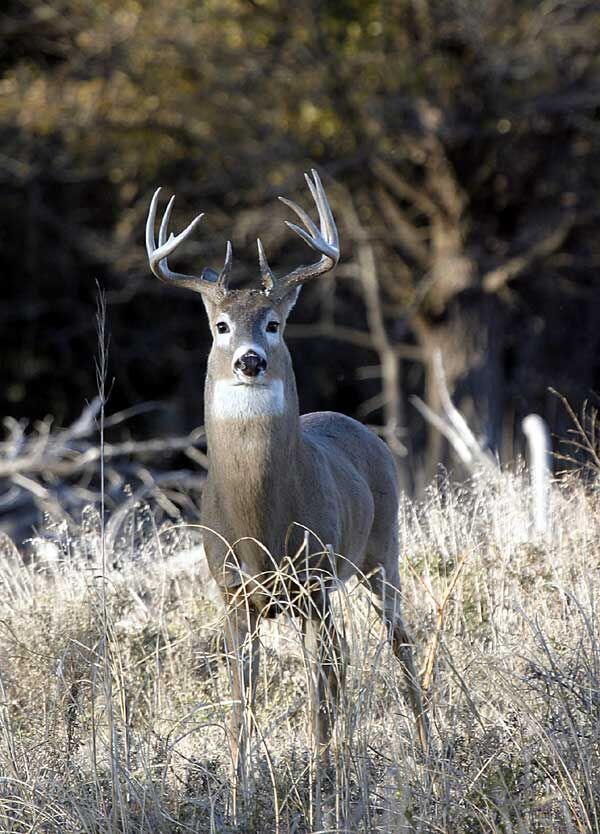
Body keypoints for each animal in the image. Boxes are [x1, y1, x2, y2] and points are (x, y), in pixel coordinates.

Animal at [145, 170, 429, 778]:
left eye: (274, 324)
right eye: (220, 325)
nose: (249, 359)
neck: (261, 526)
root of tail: (361, 426)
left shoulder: (314, 578)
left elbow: (318, 684)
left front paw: (320, 772)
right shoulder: (230, 589)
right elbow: (241, 696)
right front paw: (237, 781)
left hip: (382, 549)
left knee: (396, 644)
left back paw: (424, 747)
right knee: (344, 658)